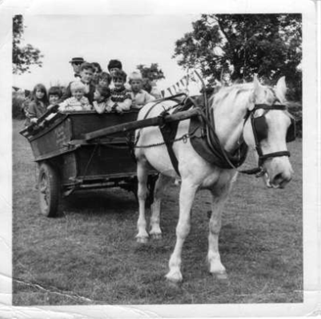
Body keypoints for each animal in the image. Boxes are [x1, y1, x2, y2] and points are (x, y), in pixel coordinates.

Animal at [134, 77, 294, 282]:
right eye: (262, 126)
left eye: (289, 125)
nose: (283, 175)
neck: (208, 134)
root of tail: (150, 104)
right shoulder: (188, 186)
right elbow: (183, 227)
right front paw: (174, 270)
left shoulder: (223, 189)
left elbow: (215, 225)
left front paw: (216, 265)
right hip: (142, 163)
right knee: (142, 195)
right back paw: (142, 232)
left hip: (166, 169)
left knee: (158, 193)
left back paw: (155, 229)